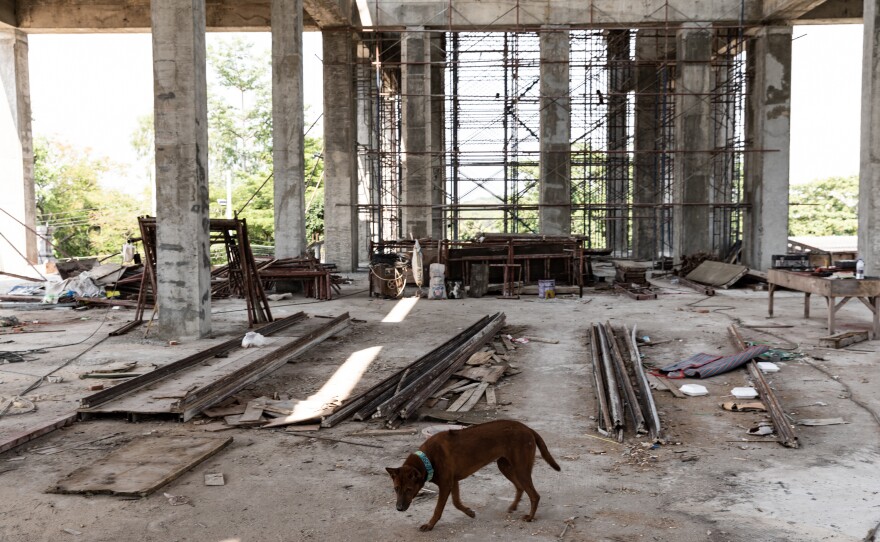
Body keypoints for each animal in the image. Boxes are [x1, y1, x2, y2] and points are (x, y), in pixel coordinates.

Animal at [386, 420, 564, 532]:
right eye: (395, 489)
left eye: (409, 490)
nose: (399, 508)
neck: (428, 460)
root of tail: (527, 428)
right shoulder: (453, 482)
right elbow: (456, 502)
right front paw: (469, 512)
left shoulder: (446, 484)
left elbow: (438, 509)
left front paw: (430, 525)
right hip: (504, 466)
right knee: (520, 487)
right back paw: (513, 506)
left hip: (521, 468)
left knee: (534, 495)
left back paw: (530, 517)